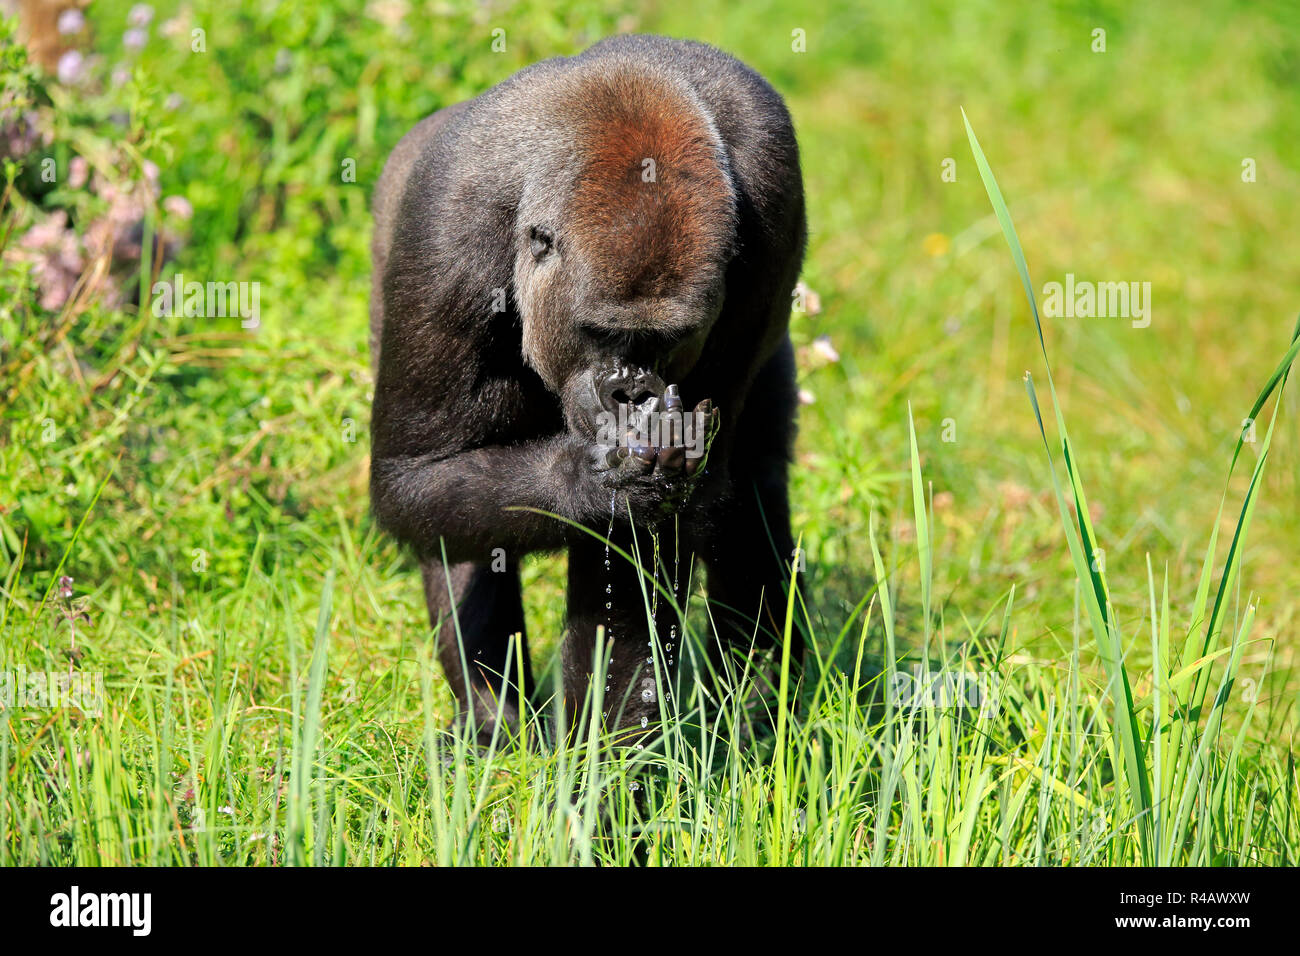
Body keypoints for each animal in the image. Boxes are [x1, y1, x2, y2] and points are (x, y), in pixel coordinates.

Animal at [369, 34, 806, 746]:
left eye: (666, 340)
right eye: (600, 331)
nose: (628, 395)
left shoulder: (775, 191)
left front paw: (612, 756)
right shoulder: (445, 231)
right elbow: (419, 478)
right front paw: (597, 481)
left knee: (755, 485)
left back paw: (757, 709)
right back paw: (491, 720)